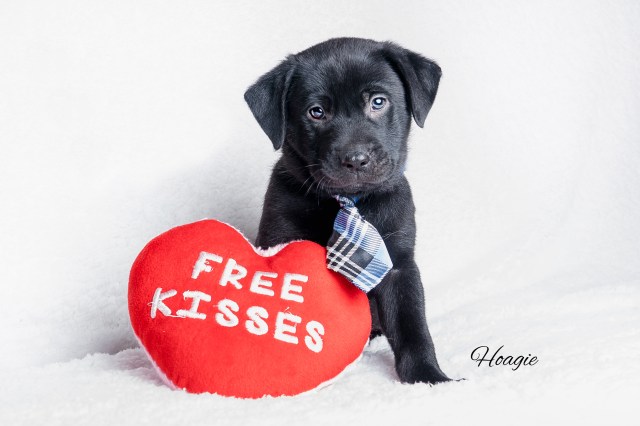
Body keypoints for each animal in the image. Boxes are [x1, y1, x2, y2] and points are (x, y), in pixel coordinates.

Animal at [244, 37, 450, 384]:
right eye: (316, 112)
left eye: (378, 102)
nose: (355, 159)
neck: (349, 203)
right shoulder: (279, 237)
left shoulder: (398, 265)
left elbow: (412, 326)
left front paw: (429, 377)